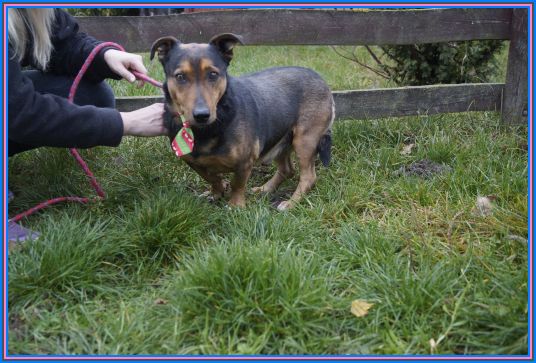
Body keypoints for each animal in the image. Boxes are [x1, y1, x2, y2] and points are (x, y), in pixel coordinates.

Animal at [151, 34, 336, 210]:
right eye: (180, 76)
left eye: (213, 74)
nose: (202, 115)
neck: (207, 128)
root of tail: (320, 78)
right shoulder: (193, 161)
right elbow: (211, 177)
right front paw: (216, 192)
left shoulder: (244, 161)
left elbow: (237, 184)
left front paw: (235, 205)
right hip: (280, 139)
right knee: (287, 170)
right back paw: (265, 189)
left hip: (305, 140)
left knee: (309, 177)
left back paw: (291, 203)